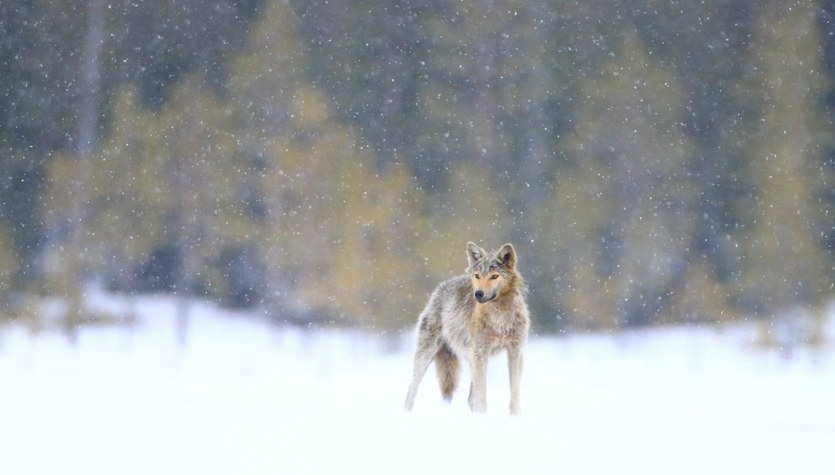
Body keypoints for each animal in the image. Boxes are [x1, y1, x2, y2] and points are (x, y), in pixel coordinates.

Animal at [404, 244, 528, 414]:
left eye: (494, 276)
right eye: (477, 276)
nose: (478, 293)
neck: (500, 317)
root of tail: (442, 286)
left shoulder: (515, 352)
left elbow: (514, 396)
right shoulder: (481, 353)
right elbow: (482, 398)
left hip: (471, 359)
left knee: (470, 399)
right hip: (427, 355)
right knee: (411, 389)